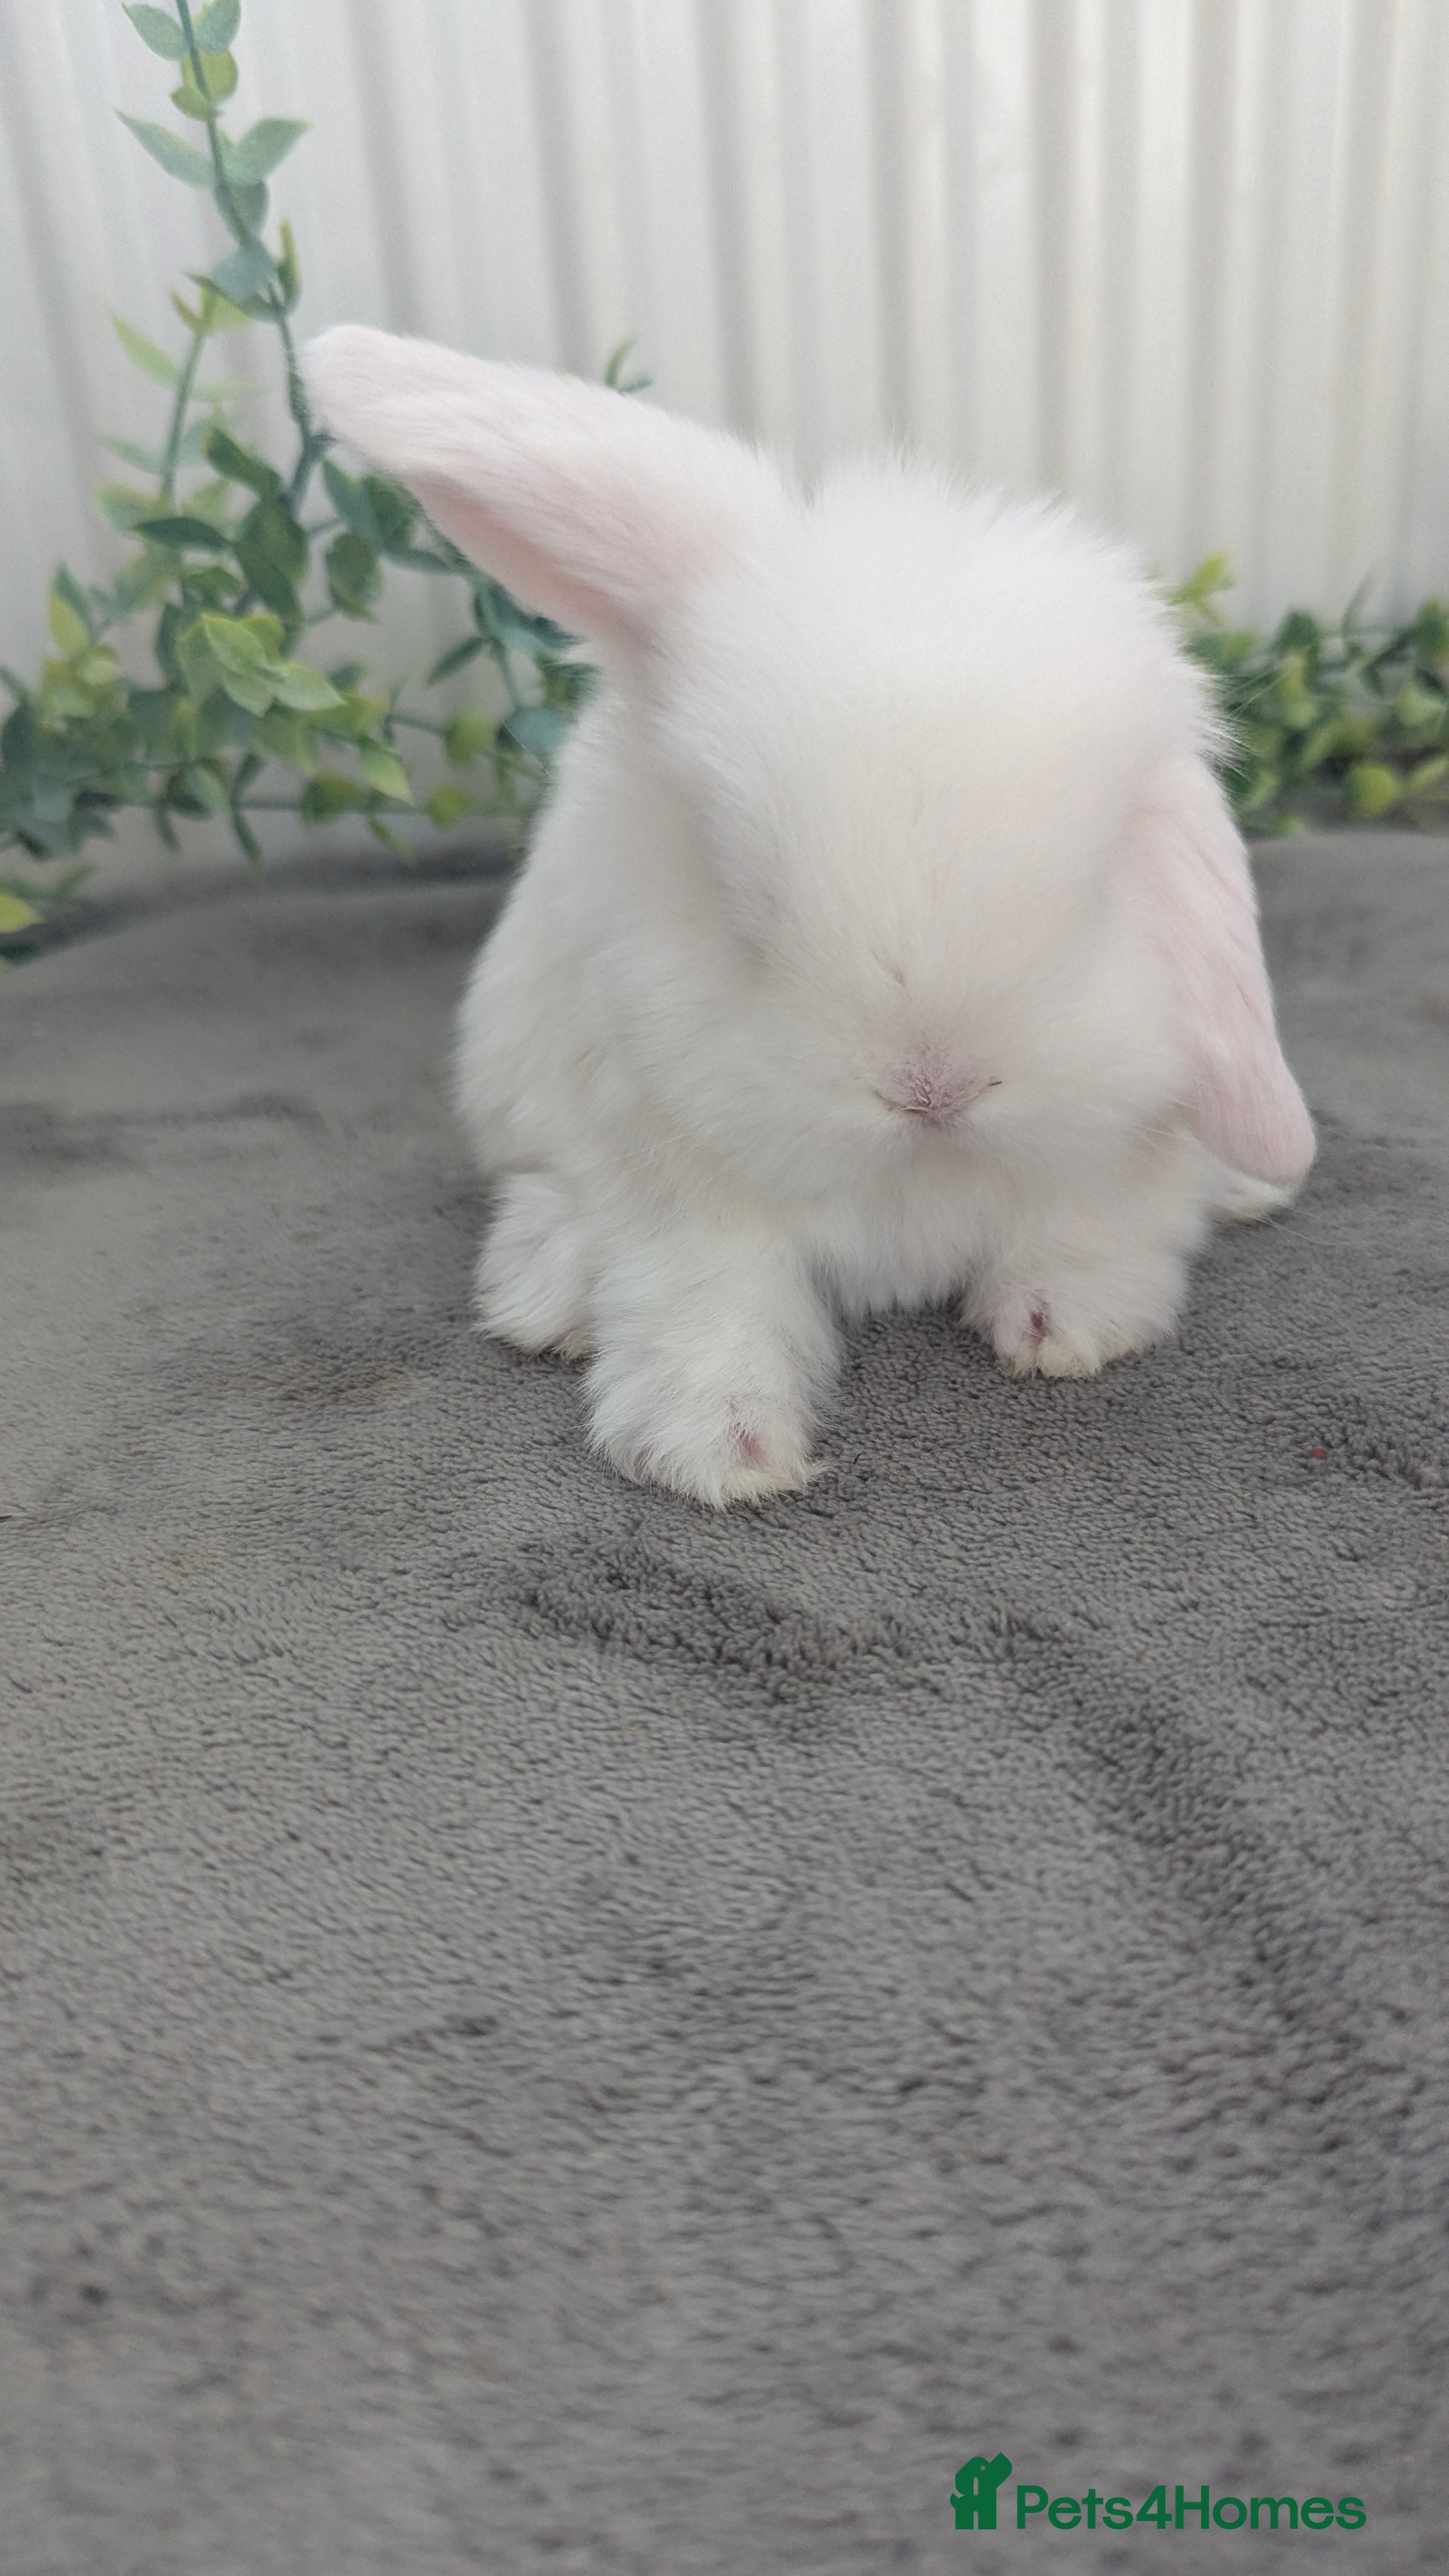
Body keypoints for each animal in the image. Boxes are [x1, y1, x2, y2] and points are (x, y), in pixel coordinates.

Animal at [304, 326, 1315, 1507]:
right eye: (742, 900)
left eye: (1100, 885)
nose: (933, 1086)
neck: (922, 1168)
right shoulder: (677, 1188)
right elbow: (707, 1304)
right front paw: (720, 1449)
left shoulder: (1114, 1157)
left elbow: (1090, 1233)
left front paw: (1062, 1324)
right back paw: (546, 1291)